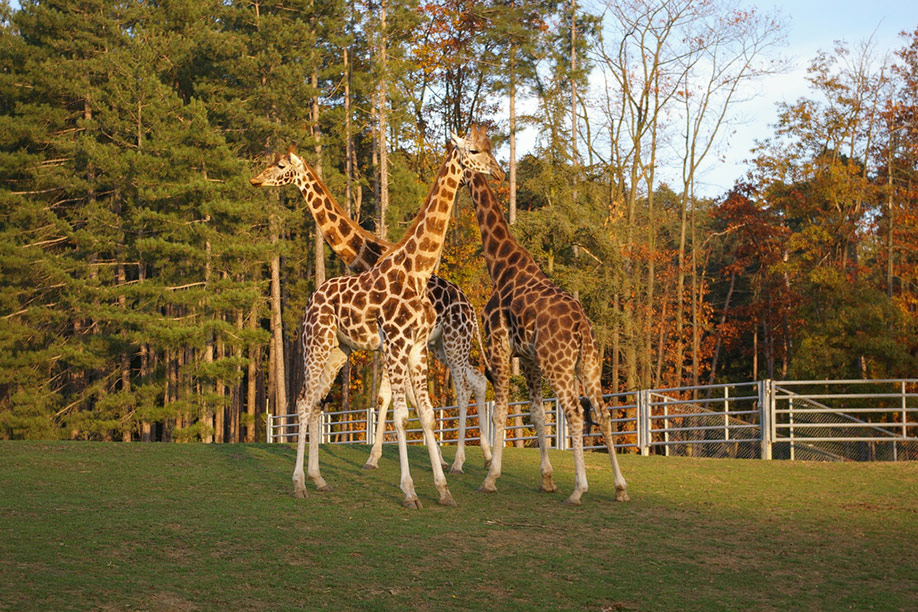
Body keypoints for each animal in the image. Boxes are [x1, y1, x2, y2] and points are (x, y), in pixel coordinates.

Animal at [464, 125, 628, 506]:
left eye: (474, 151)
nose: (498, 173)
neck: (501, 267)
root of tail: (582, 326)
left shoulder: (499, 348)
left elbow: (503, 409)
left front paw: (491, 478)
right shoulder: (528, 358)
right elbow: (537, 414)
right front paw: (547, 479)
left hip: (560, 364)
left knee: (575, 412)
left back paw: (579, 489)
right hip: (589, 364)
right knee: (602, 413)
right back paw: (620, 487)